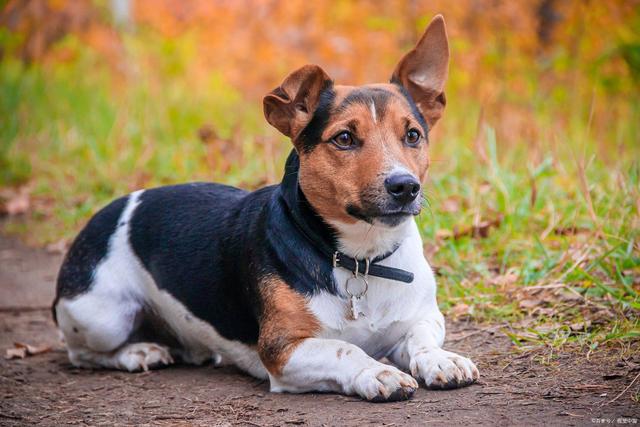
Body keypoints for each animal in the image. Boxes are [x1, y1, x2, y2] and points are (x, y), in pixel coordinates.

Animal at [52, 15, 478, 402]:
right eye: (344, 138)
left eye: (413, 135)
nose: (405, 186)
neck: (362, 259)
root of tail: (109, 210)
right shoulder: (284, 349)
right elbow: (346, 349)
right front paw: (377, 372)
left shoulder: (422, 317)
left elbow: (421, 338)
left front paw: (441, 358)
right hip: (100, 316)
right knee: (81, 353)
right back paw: (137, 352)